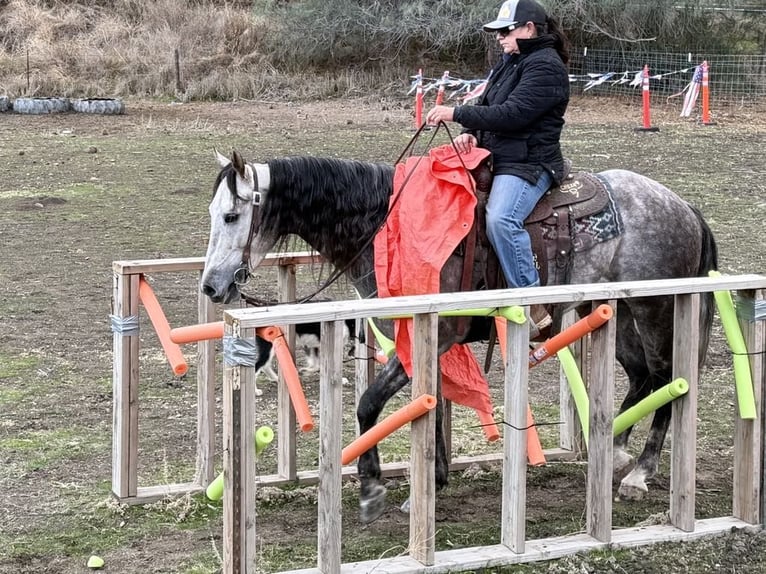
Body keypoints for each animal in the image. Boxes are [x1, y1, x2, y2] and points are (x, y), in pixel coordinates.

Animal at [201, 150, 716, 528]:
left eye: (230, 215)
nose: (210, 287)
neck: (390, 226)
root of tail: (684, 207)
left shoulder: (432, 336)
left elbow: (369, 404)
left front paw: (372, 490)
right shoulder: (423, 340)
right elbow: (431, 402)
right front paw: (431, 482)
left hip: (654, 310)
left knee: (668, 378)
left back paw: (641, 472)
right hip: (621, 313)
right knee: (642, 376)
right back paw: (617, 450)